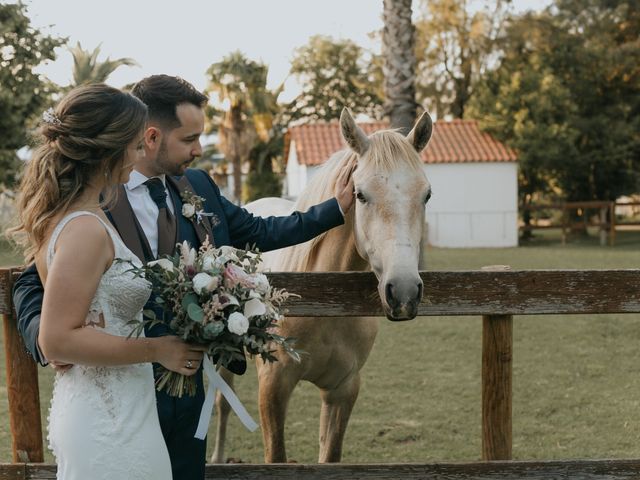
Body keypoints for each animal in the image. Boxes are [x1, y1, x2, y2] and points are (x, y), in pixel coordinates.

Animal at [212, 108, 432, 462]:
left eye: (426, 194)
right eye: (360, 194)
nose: (404, 291)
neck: (324, 302)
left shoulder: (343, 390)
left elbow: (329, 455)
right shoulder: (273, 386)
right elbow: (275, 456)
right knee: (222, 402)